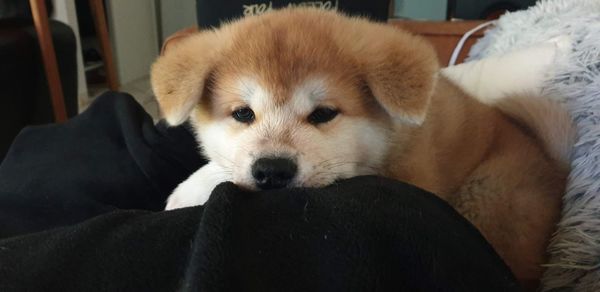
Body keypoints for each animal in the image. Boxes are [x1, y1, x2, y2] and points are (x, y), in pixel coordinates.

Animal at [150, 8, 572, 286]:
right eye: (242, 113)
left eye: (323, 114)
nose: (272, 170)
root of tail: (553, 165)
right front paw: (192, 186)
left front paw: (194, 188)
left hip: (489, 198)